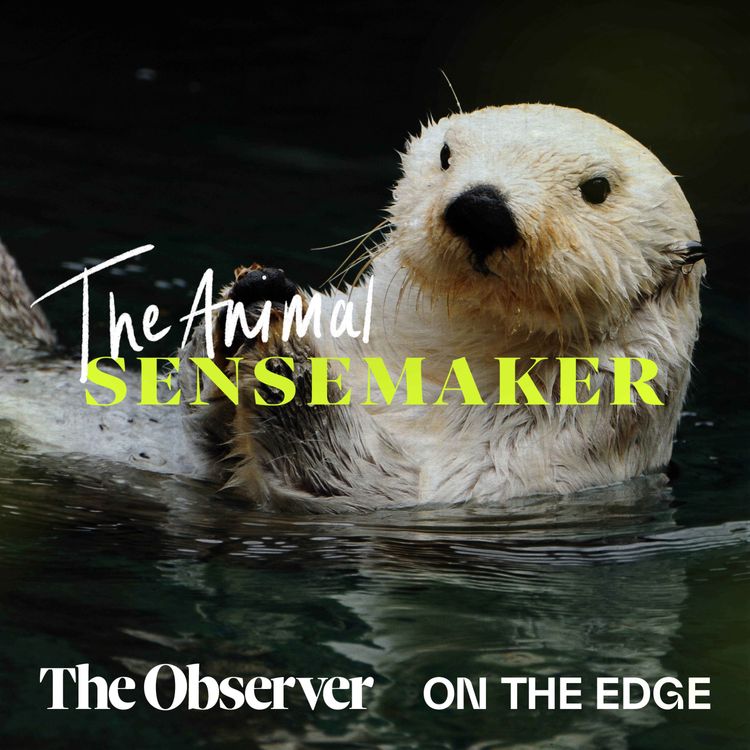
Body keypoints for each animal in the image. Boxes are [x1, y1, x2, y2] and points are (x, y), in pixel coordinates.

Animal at [0, 104, 704, 511]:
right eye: (447, 155)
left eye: (597, 189)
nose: (481, 206)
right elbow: (199, 435)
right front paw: (243, 302)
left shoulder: (523, 465)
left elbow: (367, 481)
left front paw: (286, 354)